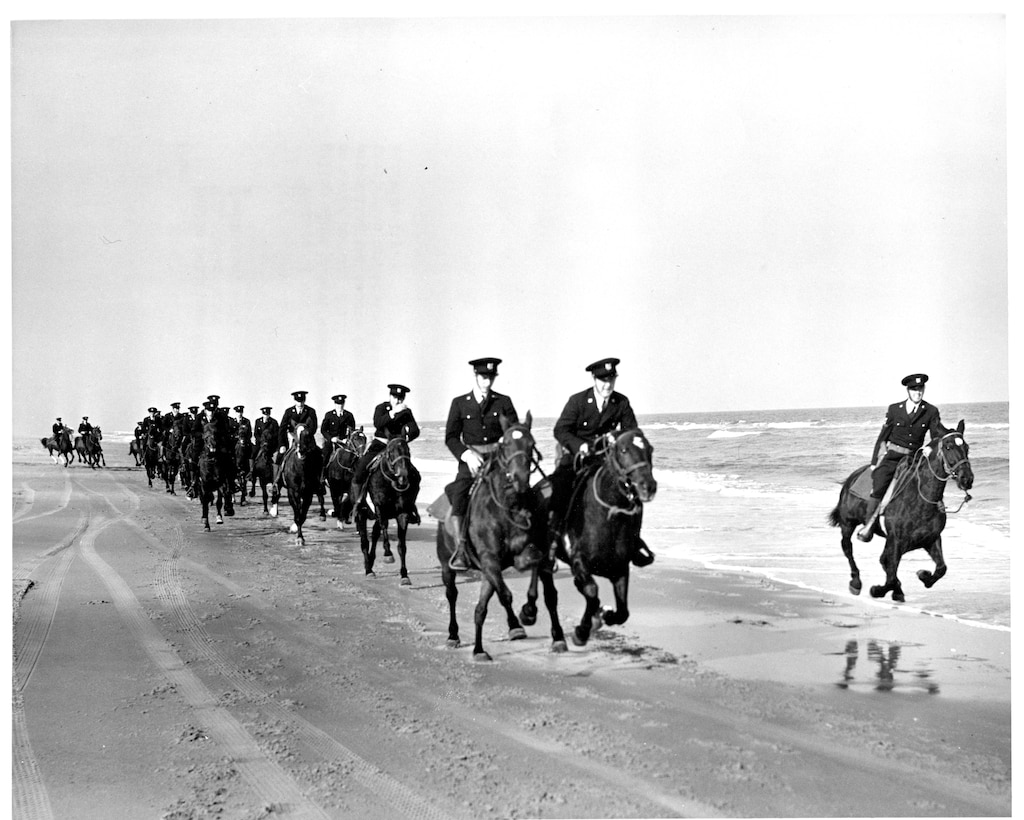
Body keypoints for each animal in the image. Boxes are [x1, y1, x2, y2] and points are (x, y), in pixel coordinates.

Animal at [352, 434, 415, 581]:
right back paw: (368, 568)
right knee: (365, 541)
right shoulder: (381, 509)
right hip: (362, 514)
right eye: (390, 452)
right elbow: (384, 527)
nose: (403, 476)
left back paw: (370, 561)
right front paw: (388, 554)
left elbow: (402, 545)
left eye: (408, 450)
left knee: (375, 534)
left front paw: (404, 575)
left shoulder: (403, 513)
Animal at [434, 413, 569, 663]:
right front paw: (518, 622)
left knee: (482, 606)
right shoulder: (490, 559)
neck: (506, 508)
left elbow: (535, 566)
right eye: (505, 444)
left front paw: (529, 611)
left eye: (531, 443)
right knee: (452, 595)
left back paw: (486, 644)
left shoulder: (518, 555)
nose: (520, 479)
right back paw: (453, 635)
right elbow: (505, 595)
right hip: (448, 565)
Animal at [524, 427, 659, 646]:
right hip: (545, 556)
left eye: (650, 449)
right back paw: (548, 628)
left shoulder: (620, 569)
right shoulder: (580, 563)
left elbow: (622, 612)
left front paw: (604, 615)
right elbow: (592, 592)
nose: (648, 486)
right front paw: (582, 631)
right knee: (549, 594)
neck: (609, 517)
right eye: (623, 450)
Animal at [823, 421, 974, 601]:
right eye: (948, 447)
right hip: (847, 524)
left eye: (967, 447)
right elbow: (890, 573)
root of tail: (851, 478)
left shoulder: (930, 539)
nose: (967, 479)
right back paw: (856, 582)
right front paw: (878, 590)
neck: (920, 498)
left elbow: (941, 568)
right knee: (847, 548)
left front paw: (923, 575)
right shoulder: (896, 541)